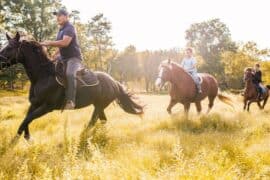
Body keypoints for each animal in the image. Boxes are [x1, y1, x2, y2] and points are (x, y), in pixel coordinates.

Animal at [0, 32, 143, 141]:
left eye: (9, 48)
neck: (43, 76)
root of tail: (114, 82)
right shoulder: (35, 104)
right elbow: (26, 120)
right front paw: (24, 138)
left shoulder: (47, 107)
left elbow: (27, 119)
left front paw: (20, 140)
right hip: (98, 106)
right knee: (102, 121)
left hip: (100, 105)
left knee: (93, 122)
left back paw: (84, 136)